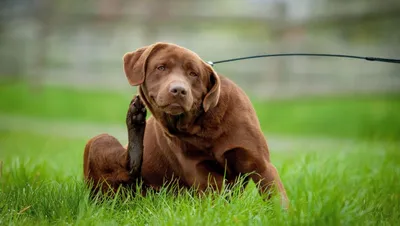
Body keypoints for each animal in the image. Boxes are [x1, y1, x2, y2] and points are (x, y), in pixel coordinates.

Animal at [83, 41, 288, 206]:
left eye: (193, 74)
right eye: (161, 67)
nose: (178, 90)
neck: (201, 125)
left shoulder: (259, 163)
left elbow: (276, 196)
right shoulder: (199, 172)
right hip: (99, 141)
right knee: (127, 168)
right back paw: (135, 119)